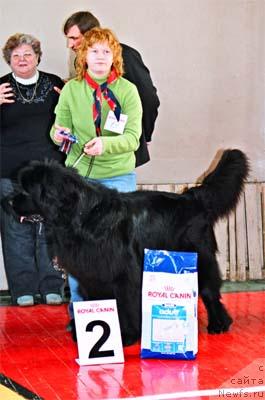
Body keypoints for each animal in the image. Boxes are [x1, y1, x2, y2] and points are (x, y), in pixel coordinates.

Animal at [7, 148, 248, 346]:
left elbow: (125, 305)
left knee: (209, 291)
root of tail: (192, 197)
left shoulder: (123, 275)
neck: (79, 217)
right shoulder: (92, 274)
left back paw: (218, 324)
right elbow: (98, 301)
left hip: (200, 258)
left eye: (26, 191)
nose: (9, 201)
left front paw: (126, 335)